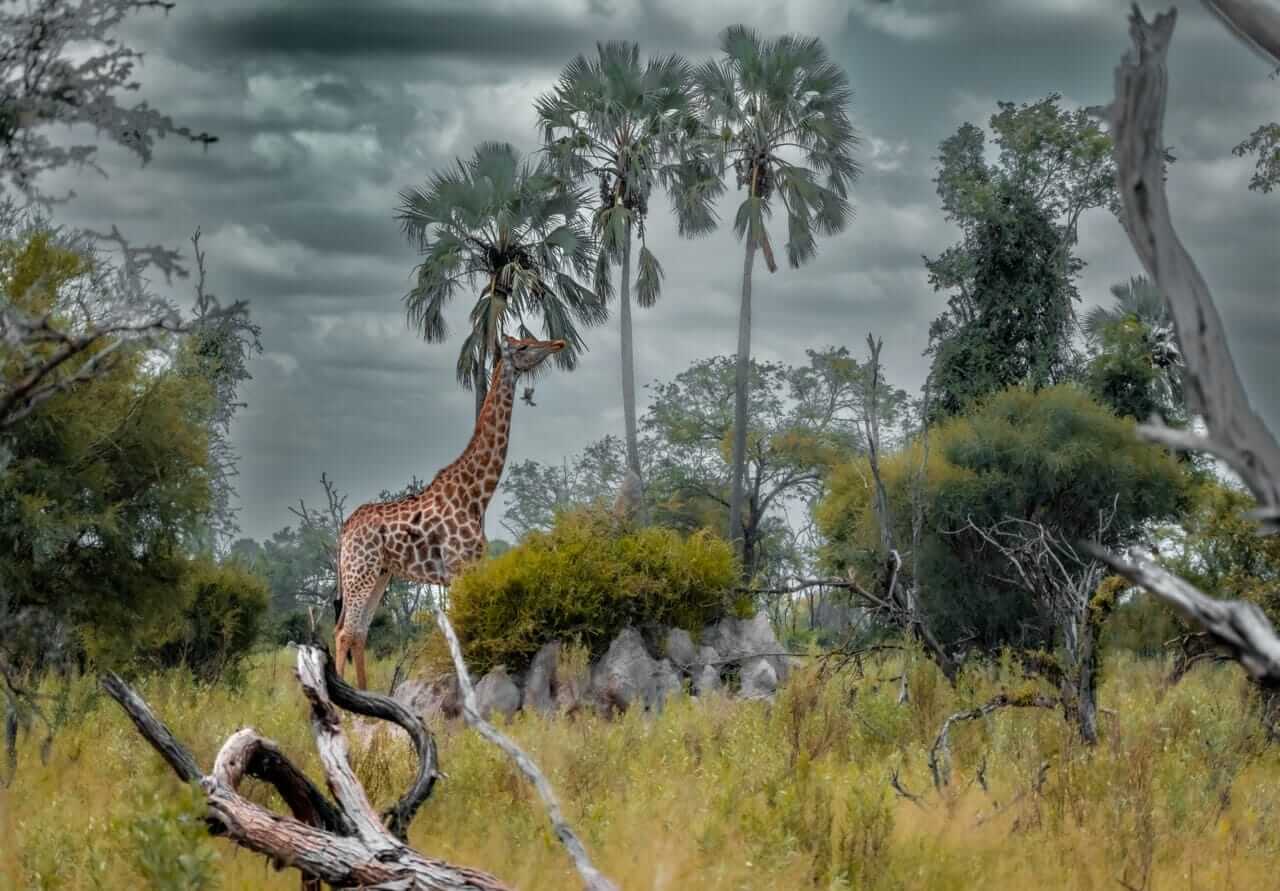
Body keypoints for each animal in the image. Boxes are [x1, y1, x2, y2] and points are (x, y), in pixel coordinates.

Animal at [334, 334, 565, 689]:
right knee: (345, 632)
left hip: (380, 573)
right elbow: (460, 630)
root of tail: (345, 529)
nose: (558, 343)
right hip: (360, 570)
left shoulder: (470, 567)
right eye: (524, 346)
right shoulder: (457, 568)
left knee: (358, 631)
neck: (477, 494)